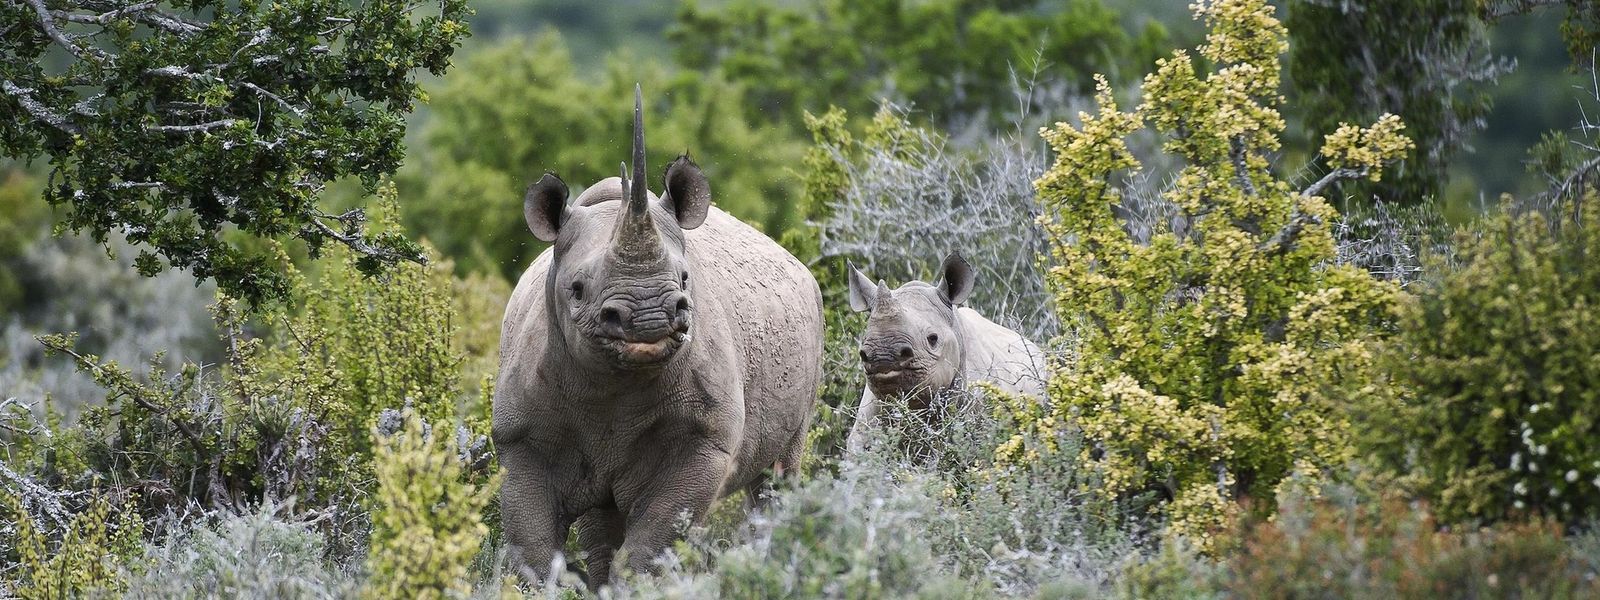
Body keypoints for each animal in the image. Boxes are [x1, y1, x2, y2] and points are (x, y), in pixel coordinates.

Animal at [492, 87, 822, 586]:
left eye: (685, 279)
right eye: (577, 289)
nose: (649, 316)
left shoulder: (704, 441)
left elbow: (652, 544)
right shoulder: (520, 438)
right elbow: (532, 547)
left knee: (777, 475)